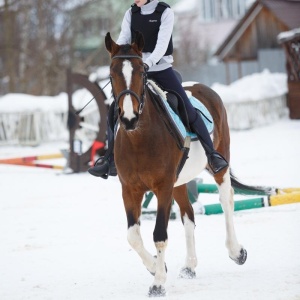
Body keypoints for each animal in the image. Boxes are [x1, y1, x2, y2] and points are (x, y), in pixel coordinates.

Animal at [105, 31, 272, 296]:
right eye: (111, 75)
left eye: (142, 71)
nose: (129, 118)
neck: (140, 138)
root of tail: (201, 87)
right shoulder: (130, 189)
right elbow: (133, 236)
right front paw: (155, 266)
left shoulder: (162, 188)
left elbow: (159, 234)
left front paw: (158, 282)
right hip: (179, 182)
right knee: (188, 216)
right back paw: (190, 266)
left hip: (218, 163)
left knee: (226, 200)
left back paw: (236, 252)